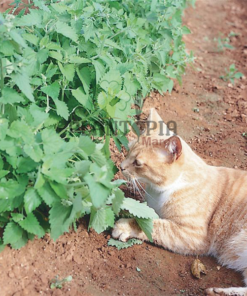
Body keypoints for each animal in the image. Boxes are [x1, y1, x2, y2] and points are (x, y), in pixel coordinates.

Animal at [112, 108, 247, 296]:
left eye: (138, 163)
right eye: (128, 149)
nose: (121, 166)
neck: (157, 191)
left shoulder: (193, 234)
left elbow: (154, 224)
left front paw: (124, 225)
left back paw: (218, 292)